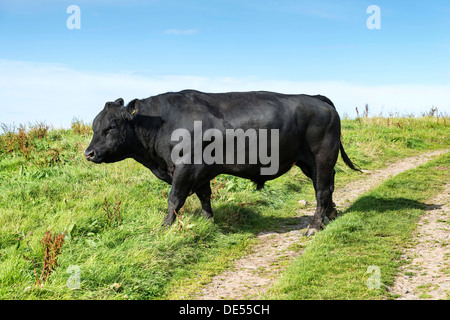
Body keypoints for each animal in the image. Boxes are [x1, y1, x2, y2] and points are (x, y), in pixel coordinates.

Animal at [83, 90, 358, 235]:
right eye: (95, 125)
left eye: (111, 126)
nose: (89, 153)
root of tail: (316, 98)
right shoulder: (199, 172)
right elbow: (204, 196)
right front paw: (208, 222)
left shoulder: (185, 168)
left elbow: (174, 199)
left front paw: (164, 227)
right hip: (310, 162)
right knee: (328, 187)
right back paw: (331, 214)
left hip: (322, 157)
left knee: (322, 189)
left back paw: (314, 225)